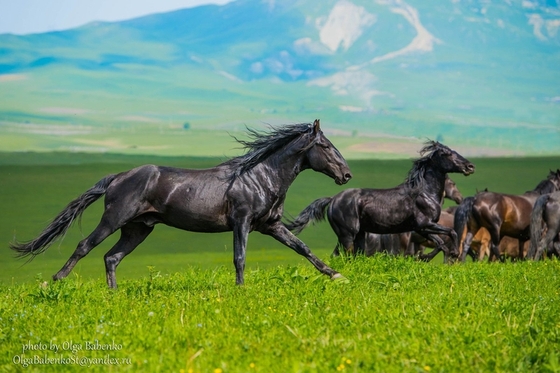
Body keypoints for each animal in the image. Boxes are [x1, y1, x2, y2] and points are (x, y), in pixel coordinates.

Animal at [12, 120, 350, 286]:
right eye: (325, 146)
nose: (346, 174)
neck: (260, 176)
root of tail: (117, 176)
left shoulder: (271, 225)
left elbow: (303, 248)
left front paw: (336, 276)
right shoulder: (242, 222)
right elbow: (240, 258)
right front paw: (241, 290)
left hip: (138, 228)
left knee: (111, 257)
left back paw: (114, 295)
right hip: (114, 219)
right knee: (85, 245)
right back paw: (53, 282)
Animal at [286, 141, 474, 260]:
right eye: (447, 153)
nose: (470, 166)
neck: (425, 193)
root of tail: (332, 200)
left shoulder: (421, 229)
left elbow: (440, 243)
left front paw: (427, 256)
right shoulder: (425, 224)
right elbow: (451, 233)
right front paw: (454, 253)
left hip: (358, 235)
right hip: (347, 235)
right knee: (342, 256)